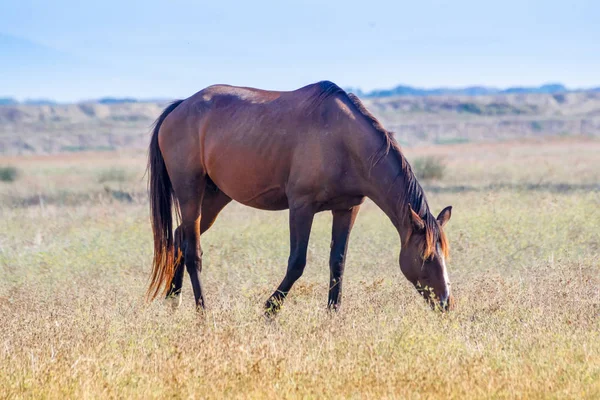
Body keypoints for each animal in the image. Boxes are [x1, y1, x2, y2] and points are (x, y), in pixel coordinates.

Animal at [148, 80, 452, 312]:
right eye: (425, 256)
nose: (446, 303)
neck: (344, 141)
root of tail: (180, 107)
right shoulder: (301, 207)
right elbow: (297, 263)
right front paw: (269, 310)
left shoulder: (346, 209)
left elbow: (338, 263)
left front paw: (332, 314)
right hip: (190, 191)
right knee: (193, 251)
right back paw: (203, 312)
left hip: (214, 198)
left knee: (180, 238)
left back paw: (173, 302)